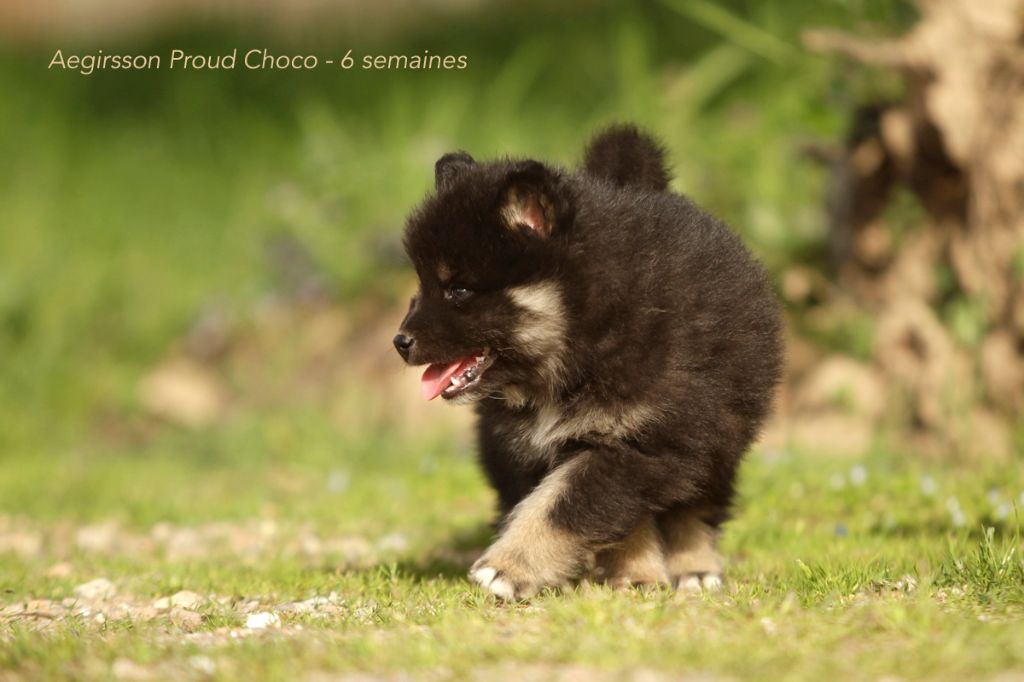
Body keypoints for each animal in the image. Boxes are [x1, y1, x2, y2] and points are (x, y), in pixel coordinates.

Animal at [395, 125, 782, 599]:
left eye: (459, 291)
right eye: (422, 287)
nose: (400, 341)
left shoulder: (643, 442)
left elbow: (566, 505)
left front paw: (507, 567)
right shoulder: (537, 447)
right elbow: (599, 513)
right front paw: (634, 573)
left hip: (721, 434)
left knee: (697, 504)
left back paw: (695, 567)